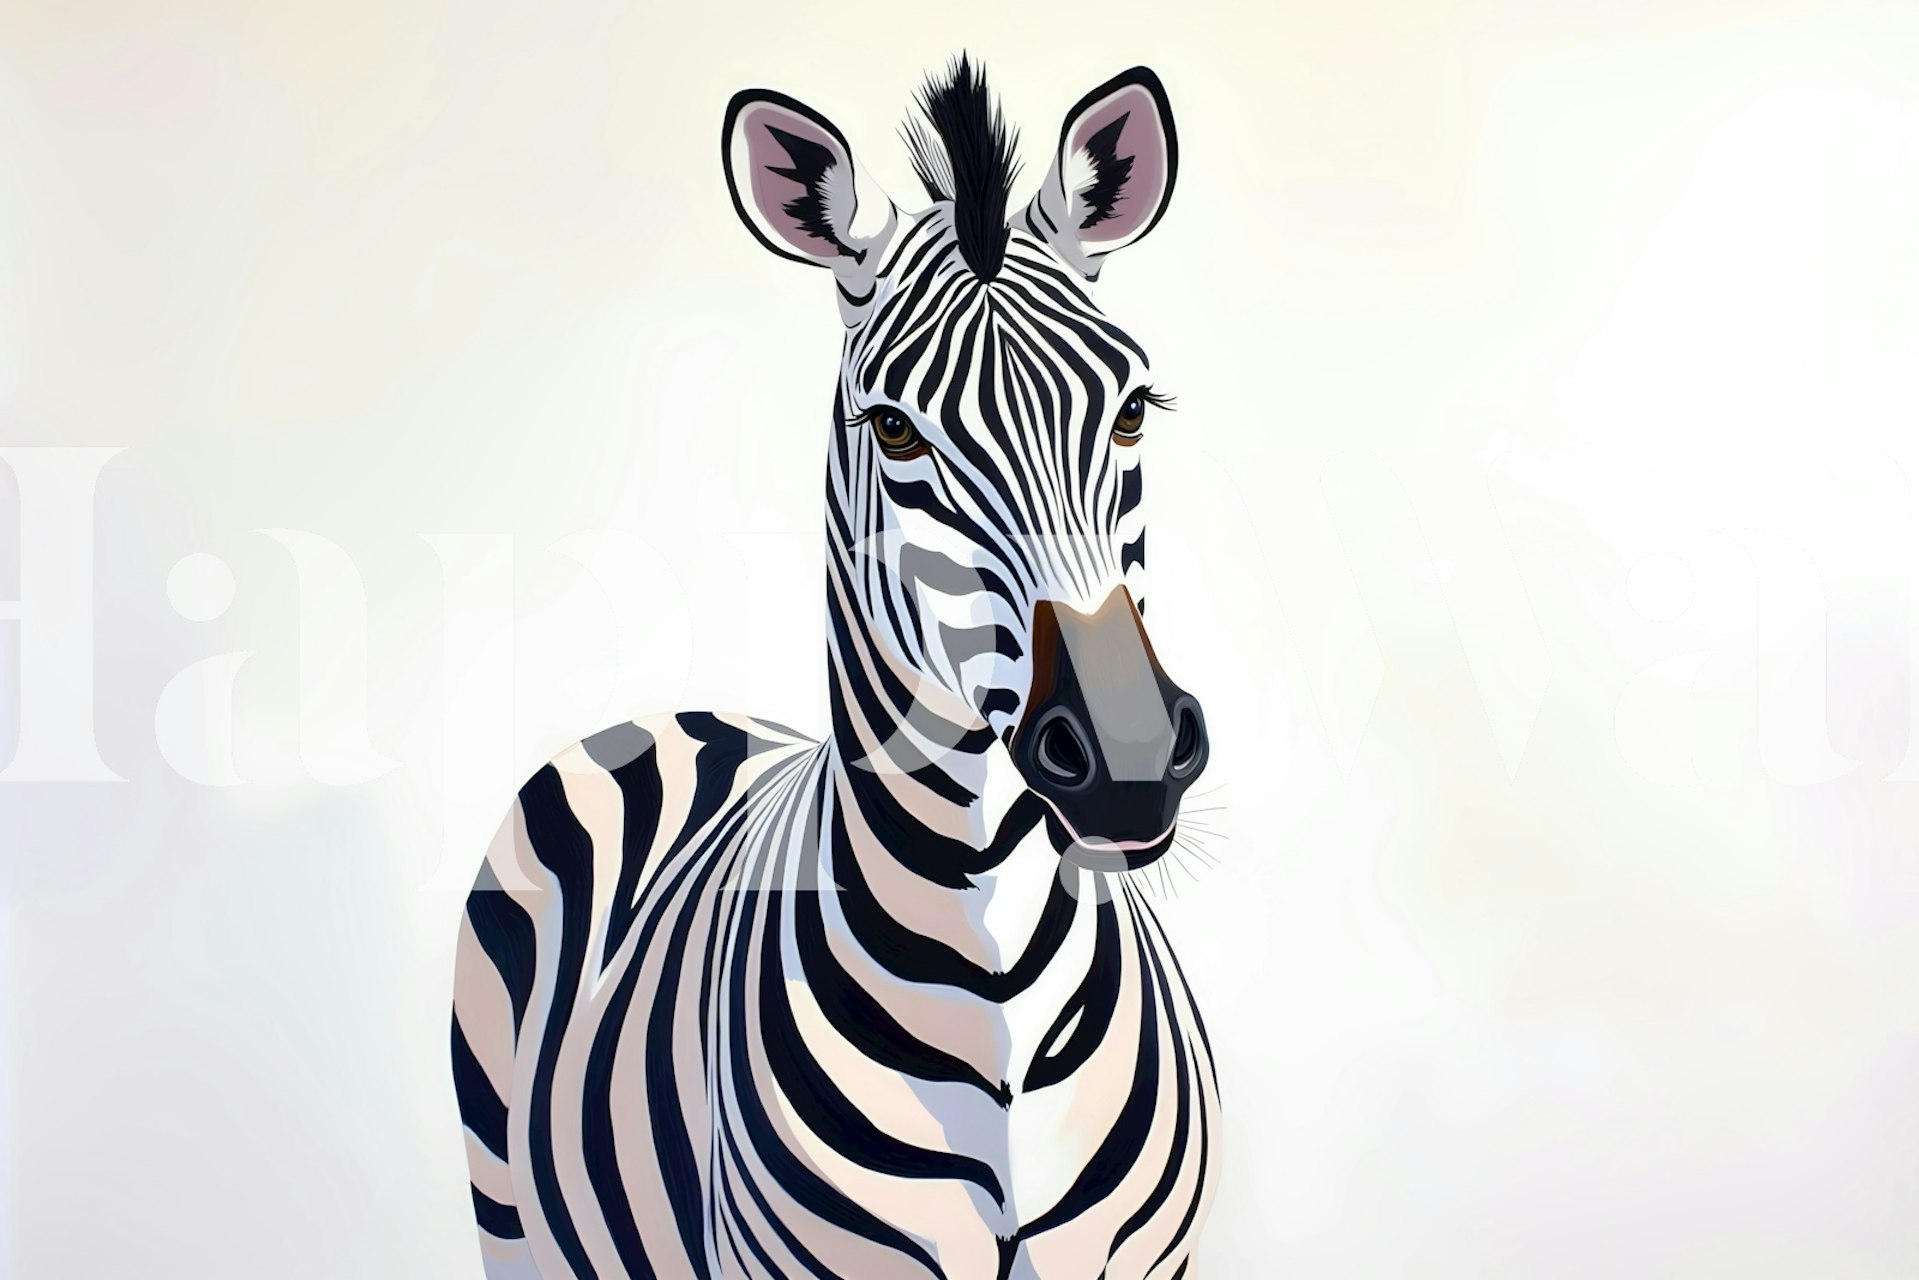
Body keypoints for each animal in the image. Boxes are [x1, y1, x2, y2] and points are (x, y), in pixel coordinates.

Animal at [452, 57, 1220, 1280]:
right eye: (894, 431)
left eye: (1135, 409)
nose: (1130, 759)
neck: (999, 976)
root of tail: (667, 718)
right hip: (513, 1221)